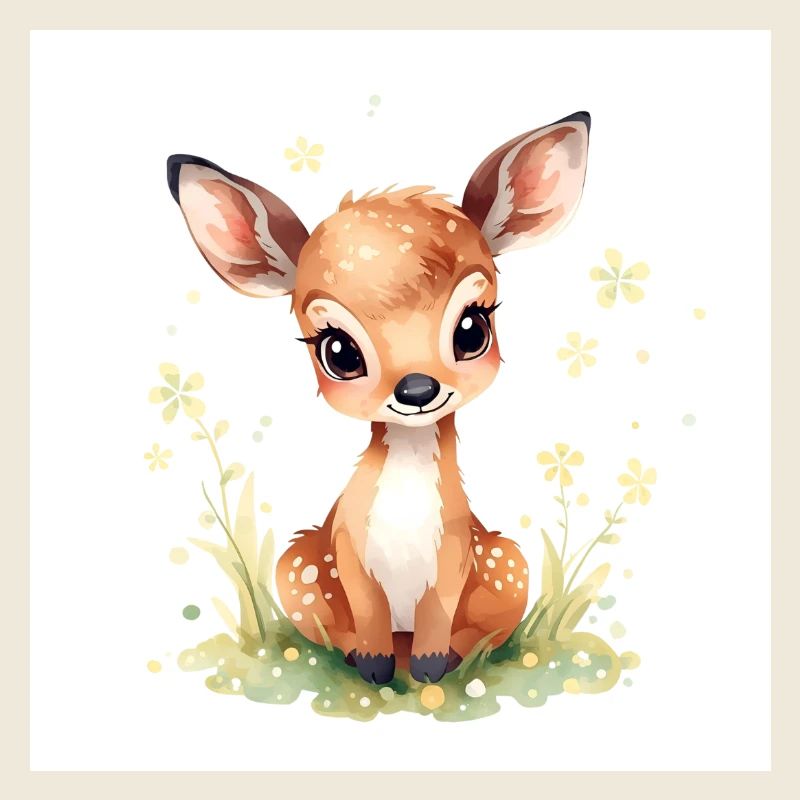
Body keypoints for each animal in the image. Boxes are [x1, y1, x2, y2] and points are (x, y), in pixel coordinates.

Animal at [166, 111, 590, 684]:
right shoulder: (347, 547)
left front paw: (431, 671)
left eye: (473, 327)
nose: (417, 389)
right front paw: (374, 668)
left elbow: (439, 616)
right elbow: (366, 614)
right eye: (339, 350)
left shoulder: (457, 551)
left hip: (509, 563)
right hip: (297, 565)